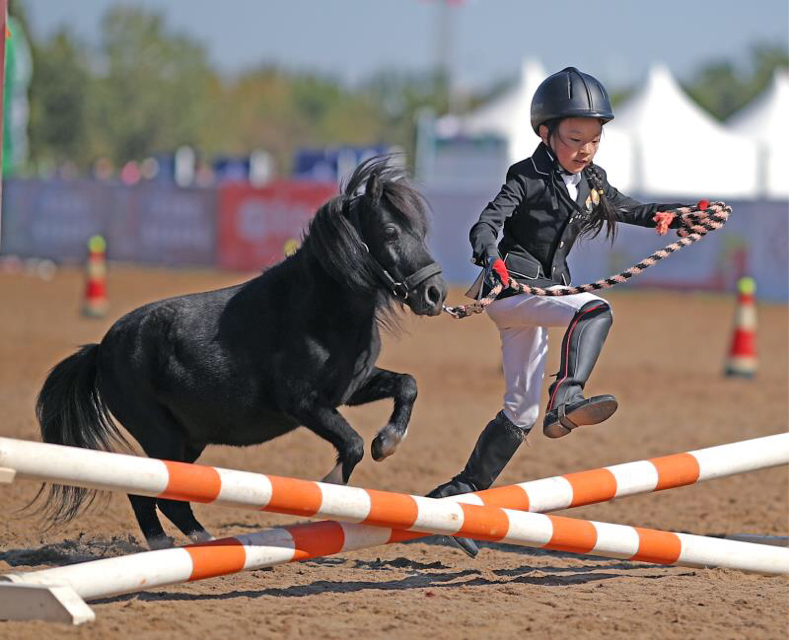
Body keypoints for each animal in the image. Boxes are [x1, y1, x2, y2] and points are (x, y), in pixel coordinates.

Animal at [33, 158, 446, 548]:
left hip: (187, 440)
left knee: (149, 494)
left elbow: (406, 386)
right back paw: (202, 544)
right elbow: (353, 444)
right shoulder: (304, 404)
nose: (435, 294)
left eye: (421, 231)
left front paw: (387, 442)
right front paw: (332, 484)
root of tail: (102, 349)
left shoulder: (351, 389)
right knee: (165, 497)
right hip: (161, 435)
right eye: (390, 231)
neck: (315, 309)